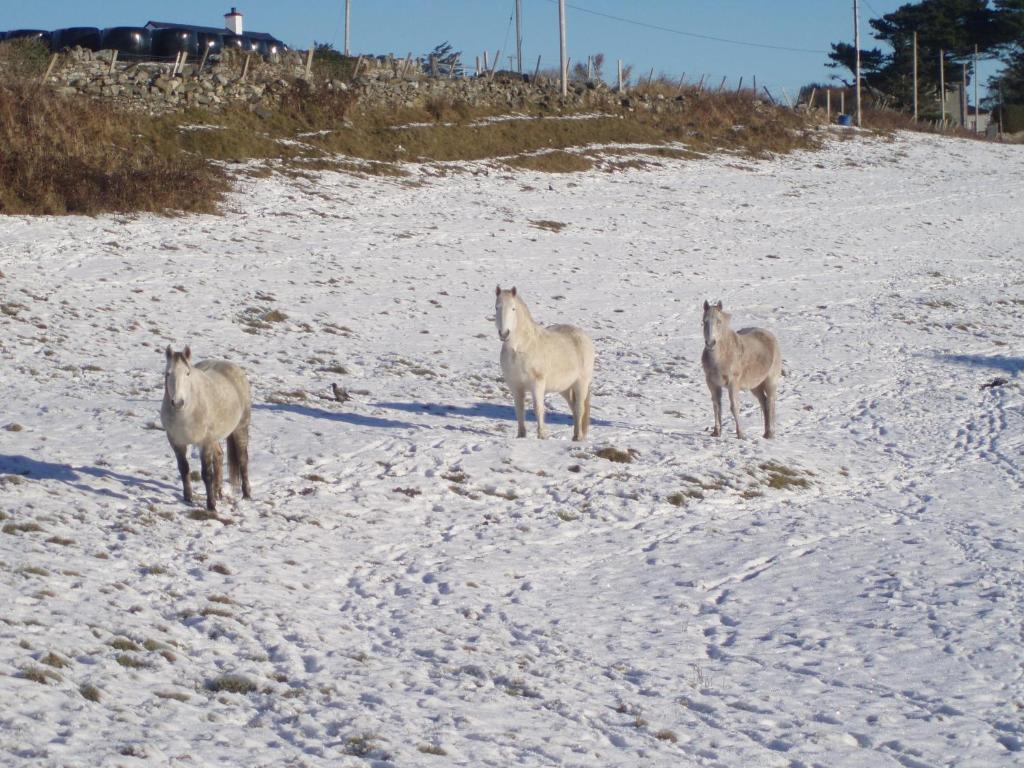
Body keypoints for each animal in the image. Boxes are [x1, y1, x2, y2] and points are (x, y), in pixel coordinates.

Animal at [162, 348, 254, 514]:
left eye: (187, 373)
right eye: (168, 373)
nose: (178, 402)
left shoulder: (204, 443)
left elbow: (206, 474)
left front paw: (211, 506)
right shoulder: (176, 442)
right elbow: (183, 469)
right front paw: (188, 498)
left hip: (240, 428)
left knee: (243, 459)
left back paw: (246, 495)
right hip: (214, 438)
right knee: (219, 456)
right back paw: (218, 492)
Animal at [493, 286, 598, 444]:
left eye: (513, 308)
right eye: (497, 307)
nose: (504, 334)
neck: (520, 348)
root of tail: (584, 336)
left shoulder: (537, 384)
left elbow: (538, 408)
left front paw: (542, 435)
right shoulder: (515, 386)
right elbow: (519, 408)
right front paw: (521, 435)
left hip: (581, 383)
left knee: (579, 408)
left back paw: (578, 437)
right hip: (565, 388)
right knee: (573, 408)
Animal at [700, 303, 778, 442]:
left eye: (719, 322)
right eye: (704, 321)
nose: (710, 343)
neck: (721, 357)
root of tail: (769, 335)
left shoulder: (733, 384)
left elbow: (734, 406)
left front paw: (740, 434)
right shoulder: (712, 383)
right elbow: (716, 405)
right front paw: (716, 432)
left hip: (770, 382)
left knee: (770, 402)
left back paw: (770, 434)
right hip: (755, 386)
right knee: (764, 402)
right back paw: (765, 433)